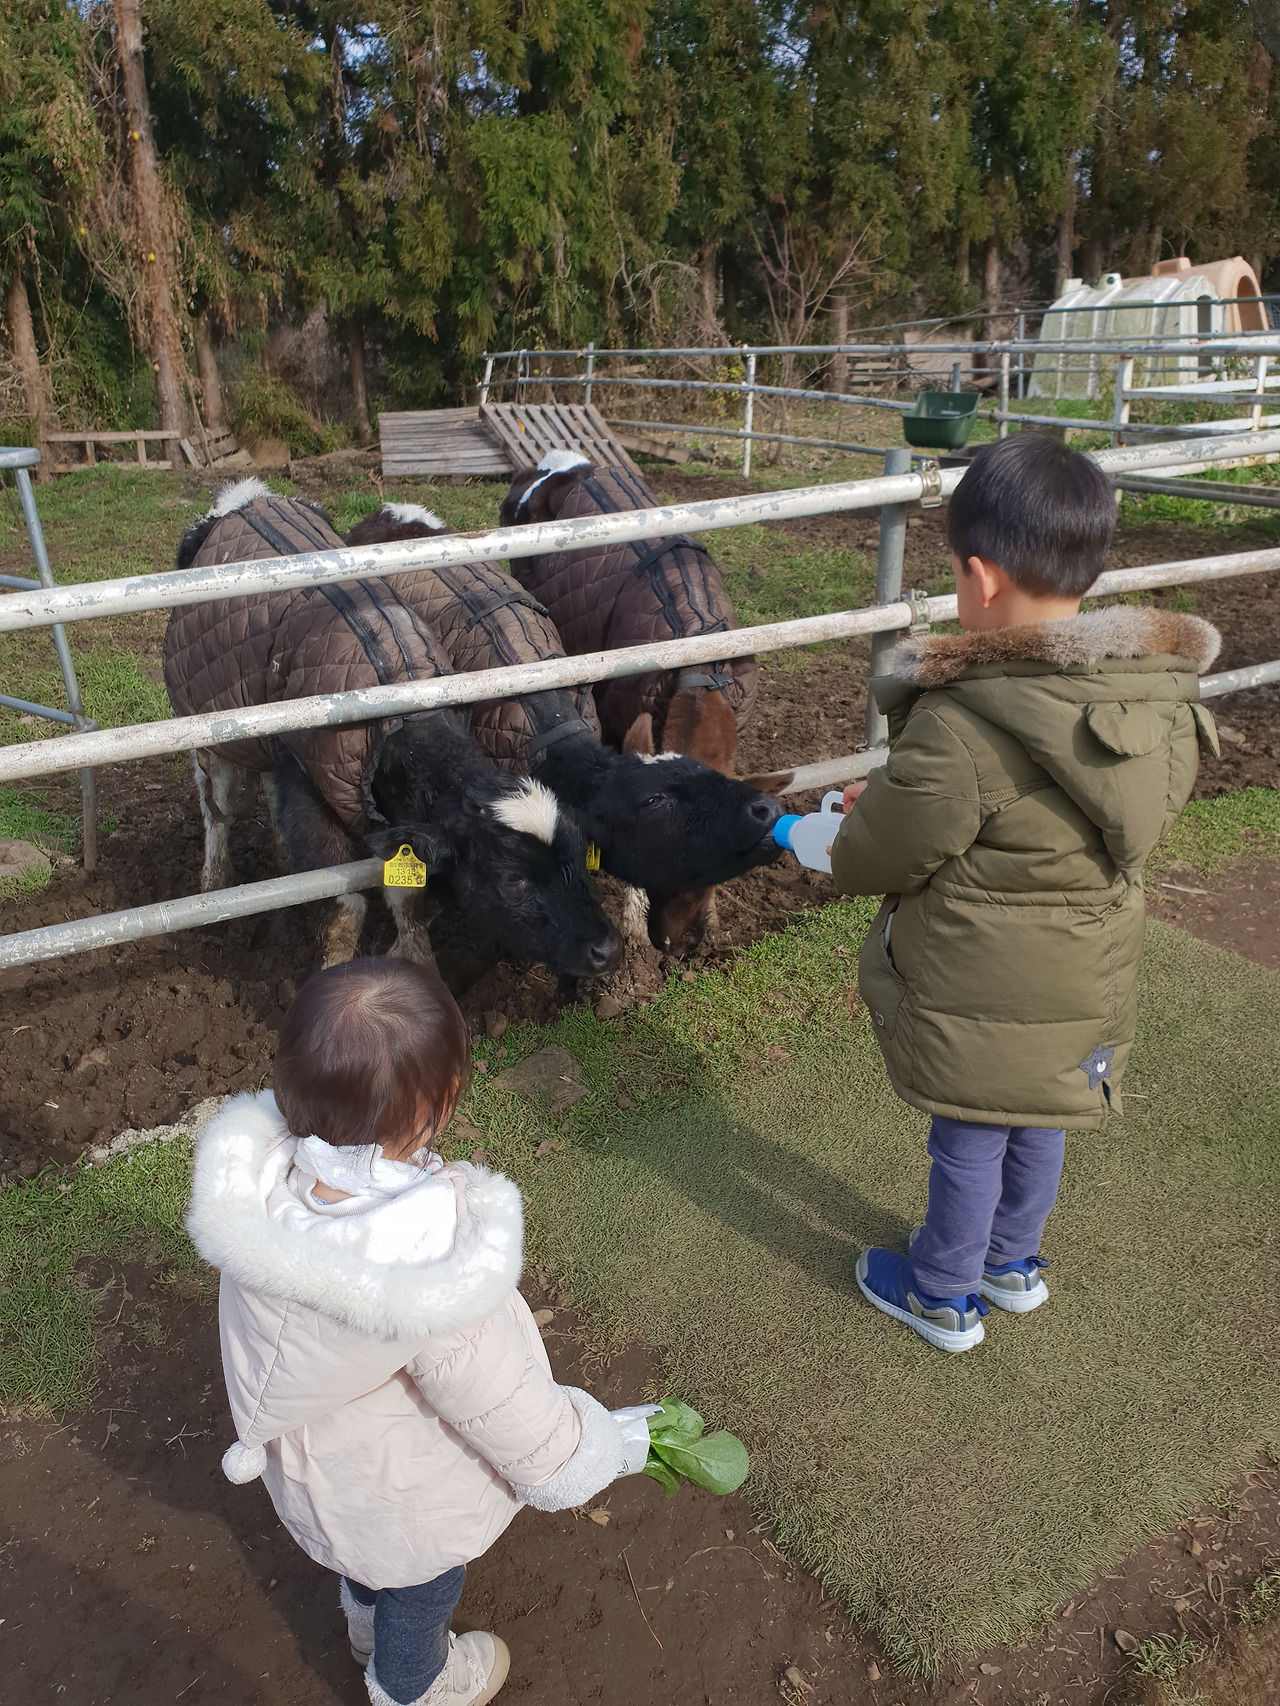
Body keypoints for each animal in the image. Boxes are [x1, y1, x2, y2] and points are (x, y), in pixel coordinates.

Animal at [162, 480, 621, 979]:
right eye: (513, 879)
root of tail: (246, 498)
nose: (606, 949)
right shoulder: (313, 789)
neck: (401, 716)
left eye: (580, 855)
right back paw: (214, 887)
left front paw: (418, 967)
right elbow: (343, 912)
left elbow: (408, 899)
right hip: (208, 726)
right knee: (217, 805)